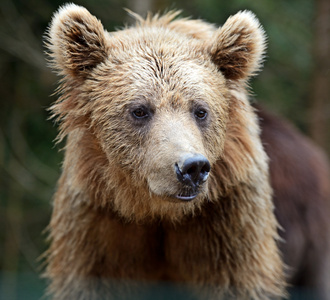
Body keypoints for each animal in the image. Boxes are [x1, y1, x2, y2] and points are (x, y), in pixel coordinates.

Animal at [43, 3, 286, 298]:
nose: (192, 167)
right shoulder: (95, 221)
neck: (158, 211)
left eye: (201, 110)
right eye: (139, 110)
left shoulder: (229, 222)